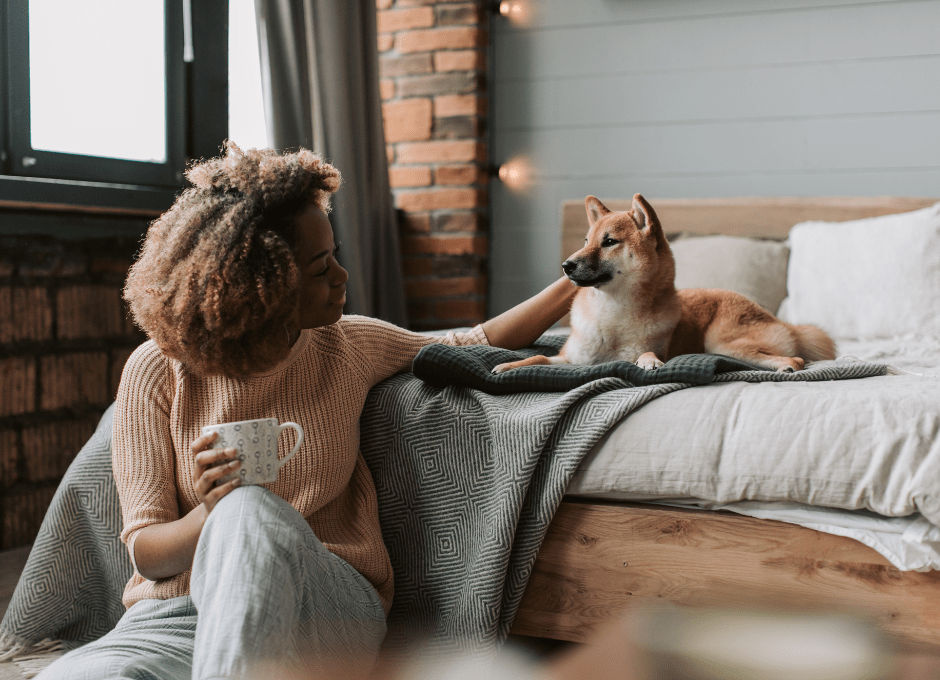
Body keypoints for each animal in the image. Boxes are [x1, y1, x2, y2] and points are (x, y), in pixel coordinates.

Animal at [492, 193, 836, 372]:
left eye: (609, 242)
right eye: (586, 241)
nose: (566, 266)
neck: (611, 314)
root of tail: (782, 322)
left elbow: (645, 354)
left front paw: (650, 363)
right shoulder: (570, 359)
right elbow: (537, 357)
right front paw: (508, 367)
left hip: (722, 343)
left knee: (797, 358)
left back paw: (786, 366)